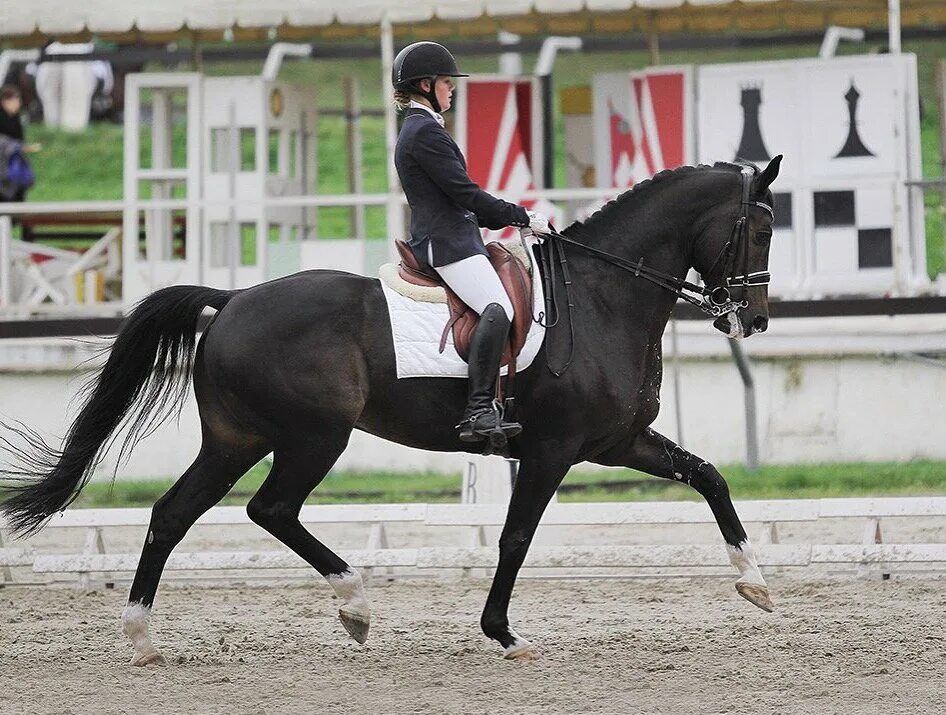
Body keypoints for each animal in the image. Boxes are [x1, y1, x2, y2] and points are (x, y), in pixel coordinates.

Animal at [0, 158, 780, 664]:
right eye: (762, 230)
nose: (755, 319)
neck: (602, 295)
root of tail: (233, 298)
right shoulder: (553, 450)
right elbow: (515, 537)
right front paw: (502, 632)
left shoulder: (618, 440)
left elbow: (709, 476)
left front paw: (756, 583)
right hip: (314, 436)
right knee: (268, 509)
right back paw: (354, 603)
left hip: (236, 438)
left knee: (174, 513)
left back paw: (143, 637)